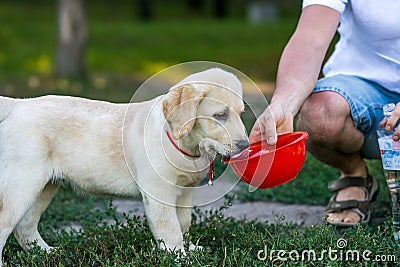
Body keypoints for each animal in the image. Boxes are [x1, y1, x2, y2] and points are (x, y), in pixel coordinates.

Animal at [0, 68, 248, 264]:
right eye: (220, 115)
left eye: (240, 114)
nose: (245, 145)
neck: (187, 145)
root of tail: (19, 104)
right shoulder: (159, 193)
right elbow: (170, 228)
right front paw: (180, 256)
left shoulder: (185, 191)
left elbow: (183, 223)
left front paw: (190, 250)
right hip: (23, 182)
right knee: (6, 222)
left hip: (45, 186)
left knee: (25, 226)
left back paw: (47, 253)